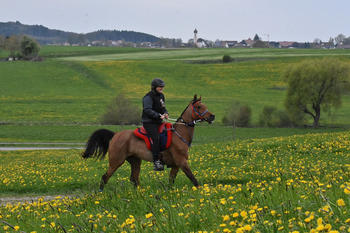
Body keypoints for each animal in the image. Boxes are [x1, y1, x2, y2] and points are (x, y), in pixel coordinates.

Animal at [81, 94, 215, 191]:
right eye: (199, 107)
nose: (212, 116)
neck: (179, 134)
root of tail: (115, 135)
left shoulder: (176, 165)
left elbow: (171, 180)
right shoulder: (182, 161)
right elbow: (193, 178)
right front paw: (201, 191)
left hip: (135, 161)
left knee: (134, 179)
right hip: (116, 161)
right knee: (105, 177)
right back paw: (100, 192)